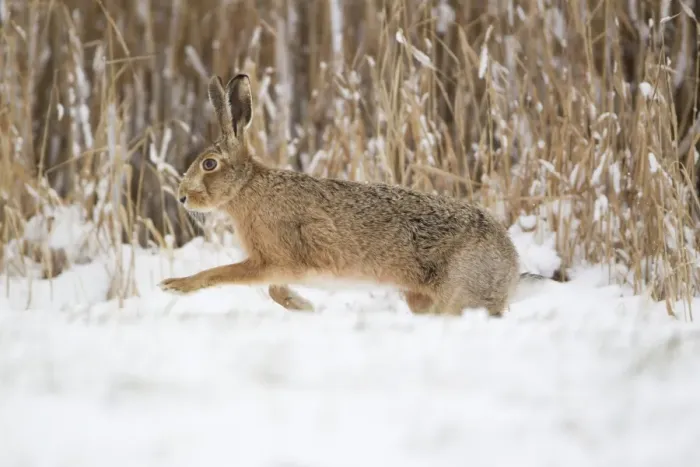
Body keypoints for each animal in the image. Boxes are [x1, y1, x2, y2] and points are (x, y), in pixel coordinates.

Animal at [158, 73, 546, 317]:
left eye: (209, 164)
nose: (182, 197)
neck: (247, 188)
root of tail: (510, 264)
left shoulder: (275, 260)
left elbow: (221, 273)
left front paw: (174, 286)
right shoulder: (275, 267)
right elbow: (273, 291)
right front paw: (303, 306)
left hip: (458, 294)